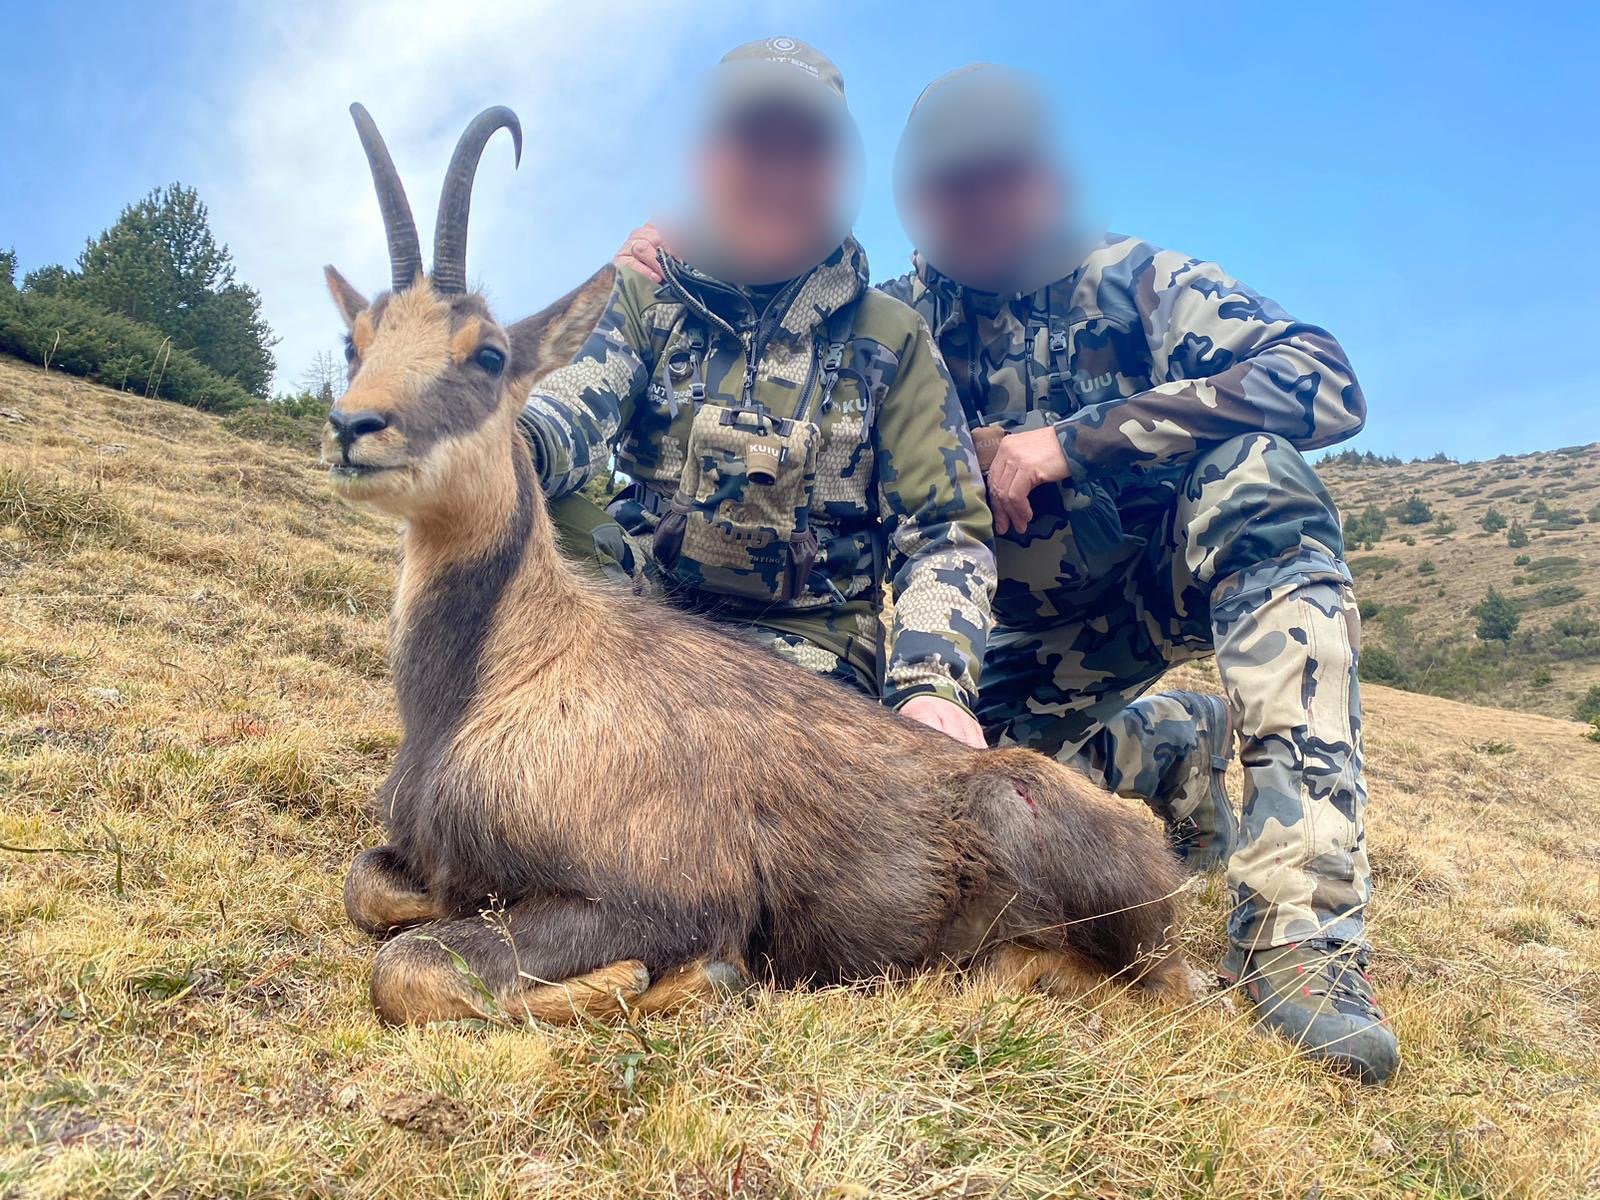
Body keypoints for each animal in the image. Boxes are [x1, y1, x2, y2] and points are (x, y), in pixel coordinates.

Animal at [325, 103, 1190, 1026]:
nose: (353, 428)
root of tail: (1158, 860)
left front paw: (670, 977)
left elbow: (409, 967)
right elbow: (369, 891)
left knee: (1139, 988)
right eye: (355, 342)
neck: (506, 674)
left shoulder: (664, 892)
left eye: (488, 353)